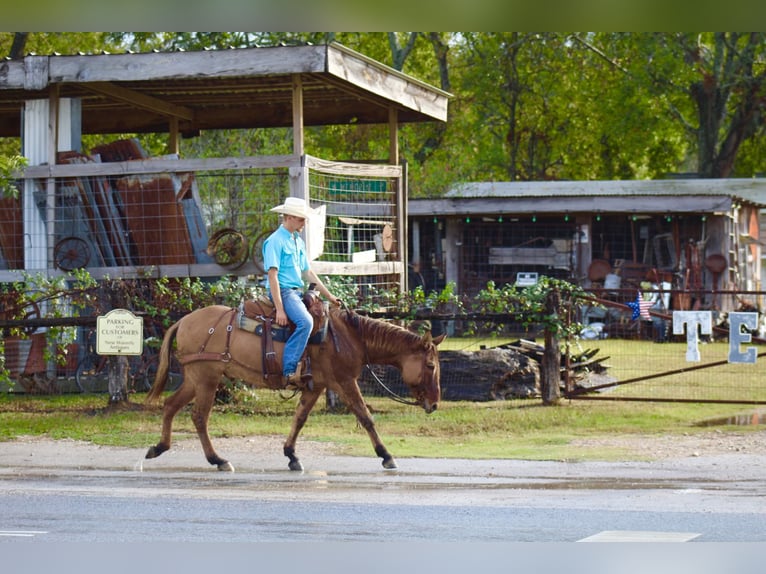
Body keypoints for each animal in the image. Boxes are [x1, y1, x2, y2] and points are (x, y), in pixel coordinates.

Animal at [146, 306, 444, 472]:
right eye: (430, 365)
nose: (434, 404)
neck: (349, 337)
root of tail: (184, 321)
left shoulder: (317, 386)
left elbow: (299, 418)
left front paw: (291, 455)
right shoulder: (344, 381)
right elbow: (366, 417)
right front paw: (386, 456)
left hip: (195, 379)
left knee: (171, 405)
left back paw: (159, 447)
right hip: (207, 378)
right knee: (199, 417)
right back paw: (218, 459)